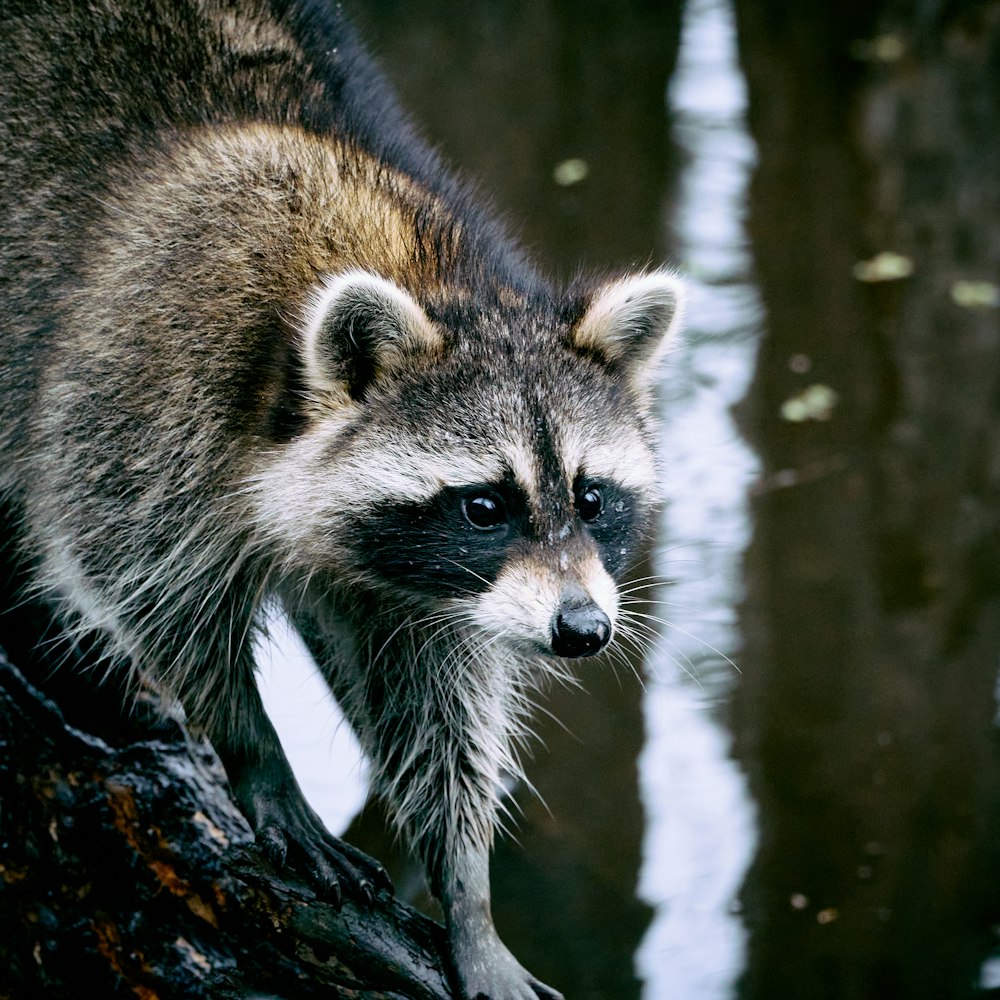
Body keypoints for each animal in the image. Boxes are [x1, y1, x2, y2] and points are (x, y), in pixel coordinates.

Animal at [0, 1, 680, 1000]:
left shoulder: (430, 586)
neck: (420, 266)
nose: (583, 631)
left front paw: (464, 882)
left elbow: (432, 690)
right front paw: (251, 744)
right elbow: (138, 574)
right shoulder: (143, 376)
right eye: (485, 505)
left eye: (591, 499)